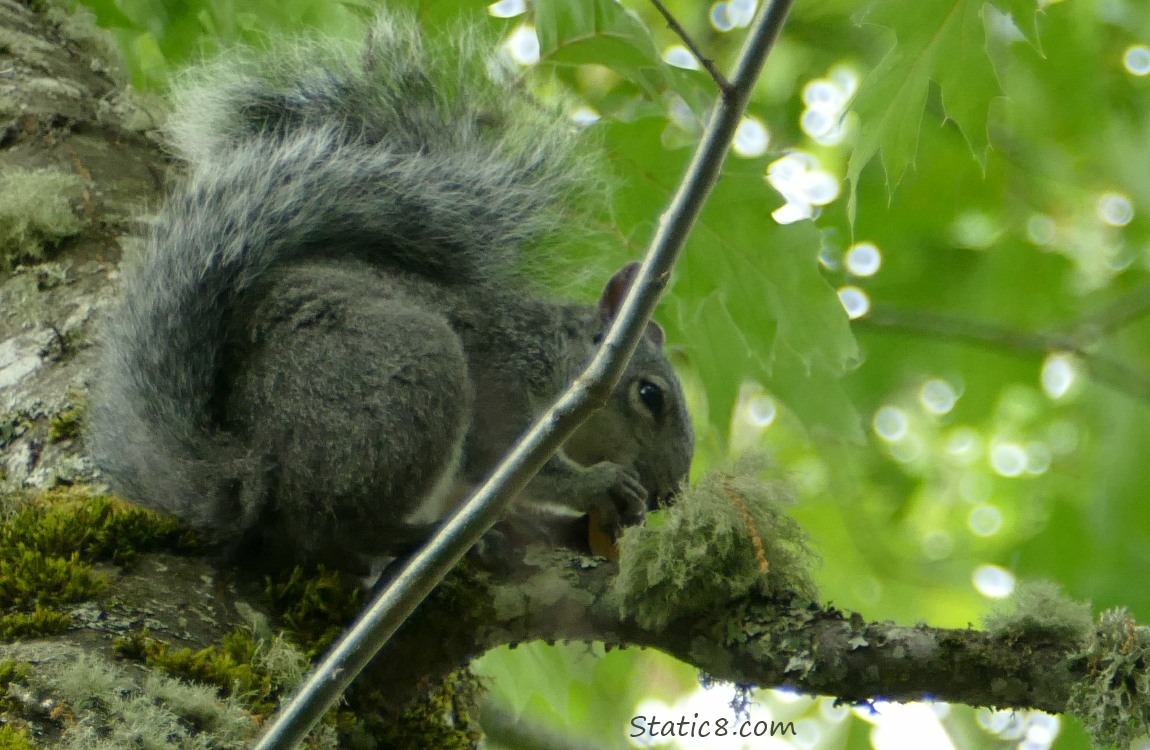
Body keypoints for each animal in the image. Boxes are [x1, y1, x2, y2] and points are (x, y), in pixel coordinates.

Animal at [87, 10, 690, 575]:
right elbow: (499, 458)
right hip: (410, 376)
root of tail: (249, 471)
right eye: (650, 396)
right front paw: (597, 485)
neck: (548, 356)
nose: (669, 497)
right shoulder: (501, 379)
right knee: (332, 531)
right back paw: (424, 538)